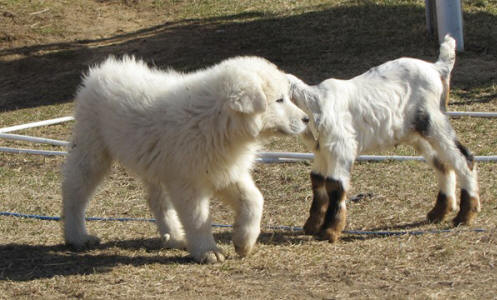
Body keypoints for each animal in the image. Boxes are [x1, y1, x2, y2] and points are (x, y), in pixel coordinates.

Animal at [62, 55, 308, 262]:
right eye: (279, 100)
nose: (306, 119)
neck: (216, 119)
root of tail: (101, 70)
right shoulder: (189, 181)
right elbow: (198, 218)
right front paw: (208, 252)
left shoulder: (223, 169)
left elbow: (254, 200)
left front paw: (243, 241)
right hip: (92, 149)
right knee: (74, 192)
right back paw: (78, 236)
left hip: (156, 164)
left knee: (157, 201)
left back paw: (174, 237)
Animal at [288, 35, 478, 243]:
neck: (314, 101)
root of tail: (437, 68)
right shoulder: (322, 151)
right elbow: (318, 181)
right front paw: (312, 226)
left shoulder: (341, 147)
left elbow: (335, 184)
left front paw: (329, 231)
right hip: (418, 134)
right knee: (443, 164)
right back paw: (438, 213)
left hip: (434, 122)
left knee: (463, 158)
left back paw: (464, 216)